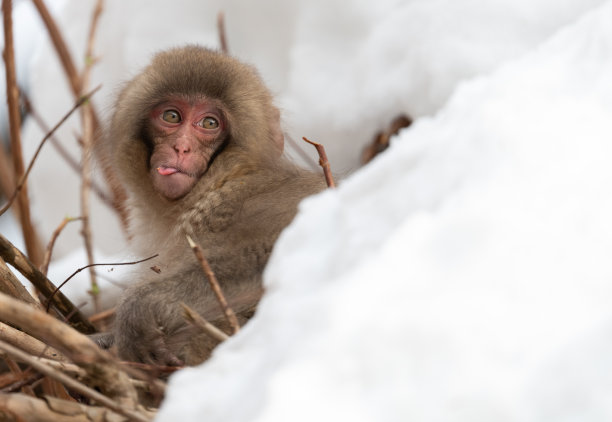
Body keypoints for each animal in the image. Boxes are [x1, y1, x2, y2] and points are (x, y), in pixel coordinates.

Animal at [95, 43, 328, 366]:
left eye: (209, 123)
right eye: (171, 116)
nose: (181, 147)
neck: (219, 183)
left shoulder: (231, 208)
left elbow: (276, 250)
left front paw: (141, 307)